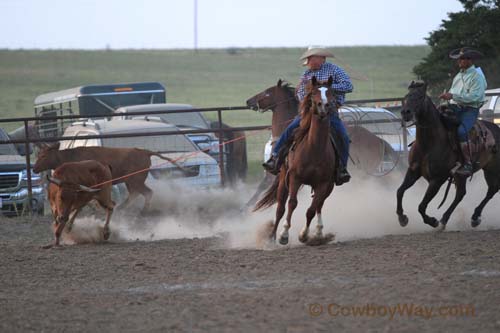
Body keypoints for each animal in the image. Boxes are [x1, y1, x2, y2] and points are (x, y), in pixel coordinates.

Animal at [254, 77, 336, 244]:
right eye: (313, 93)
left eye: (331, 92)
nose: (324, 106)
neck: (314, 147)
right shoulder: (293, 177)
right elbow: (291, 203)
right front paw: (283, 234)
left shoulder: (323, 182)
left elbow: (311, 209)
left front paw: (303, 234)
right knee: (282, 207)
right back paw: (272, 236)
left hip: (329, 185)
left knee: (319, 204)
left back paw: (319, 233)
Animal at [396, 81, 498, 230]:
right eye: (406, 96)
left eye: (420, 97)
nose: (405, 112)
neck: (428, 144)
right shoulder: (413, 171)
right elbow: (400, 191)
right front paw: (402, 218)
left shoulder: (438, 179)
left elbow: (421, 206)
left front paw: (432, 221)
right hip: (463, 175)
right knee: (461, 194)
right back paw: (448, 219)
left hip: (493, 169)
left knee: (492, 190)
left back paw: (472, 217)